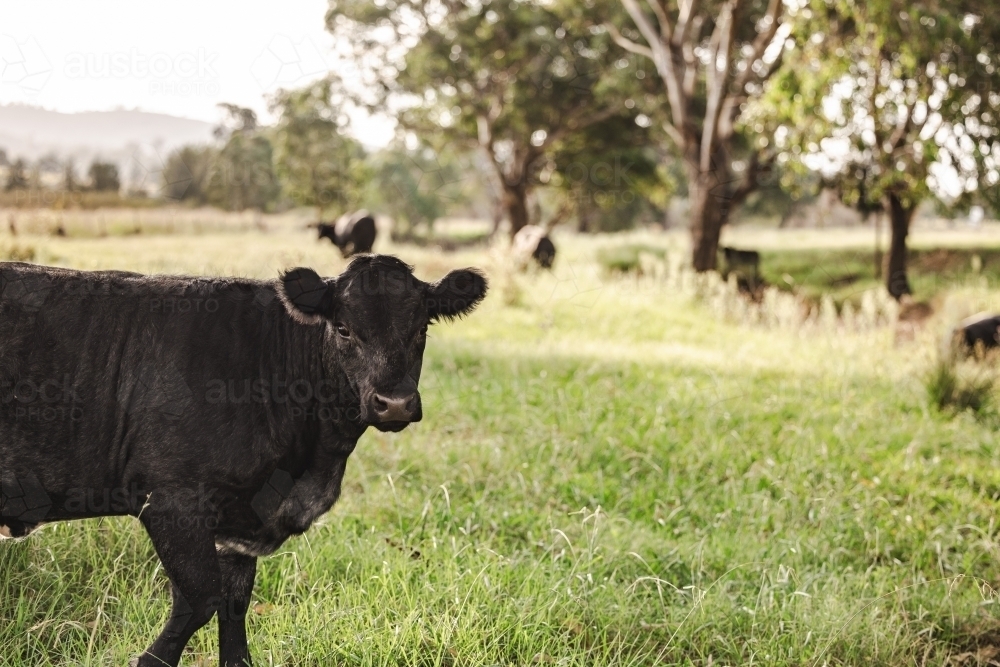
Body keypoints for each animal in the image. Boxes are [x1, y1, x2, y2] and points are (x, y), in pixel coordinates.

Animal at [0, 255, 487, 667]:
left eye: (421, 328)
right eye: (343, 329)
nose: (396, 403)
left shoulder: (239, 519)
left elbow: (235, 607)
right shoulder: (172, 501)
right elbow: (200, 599)